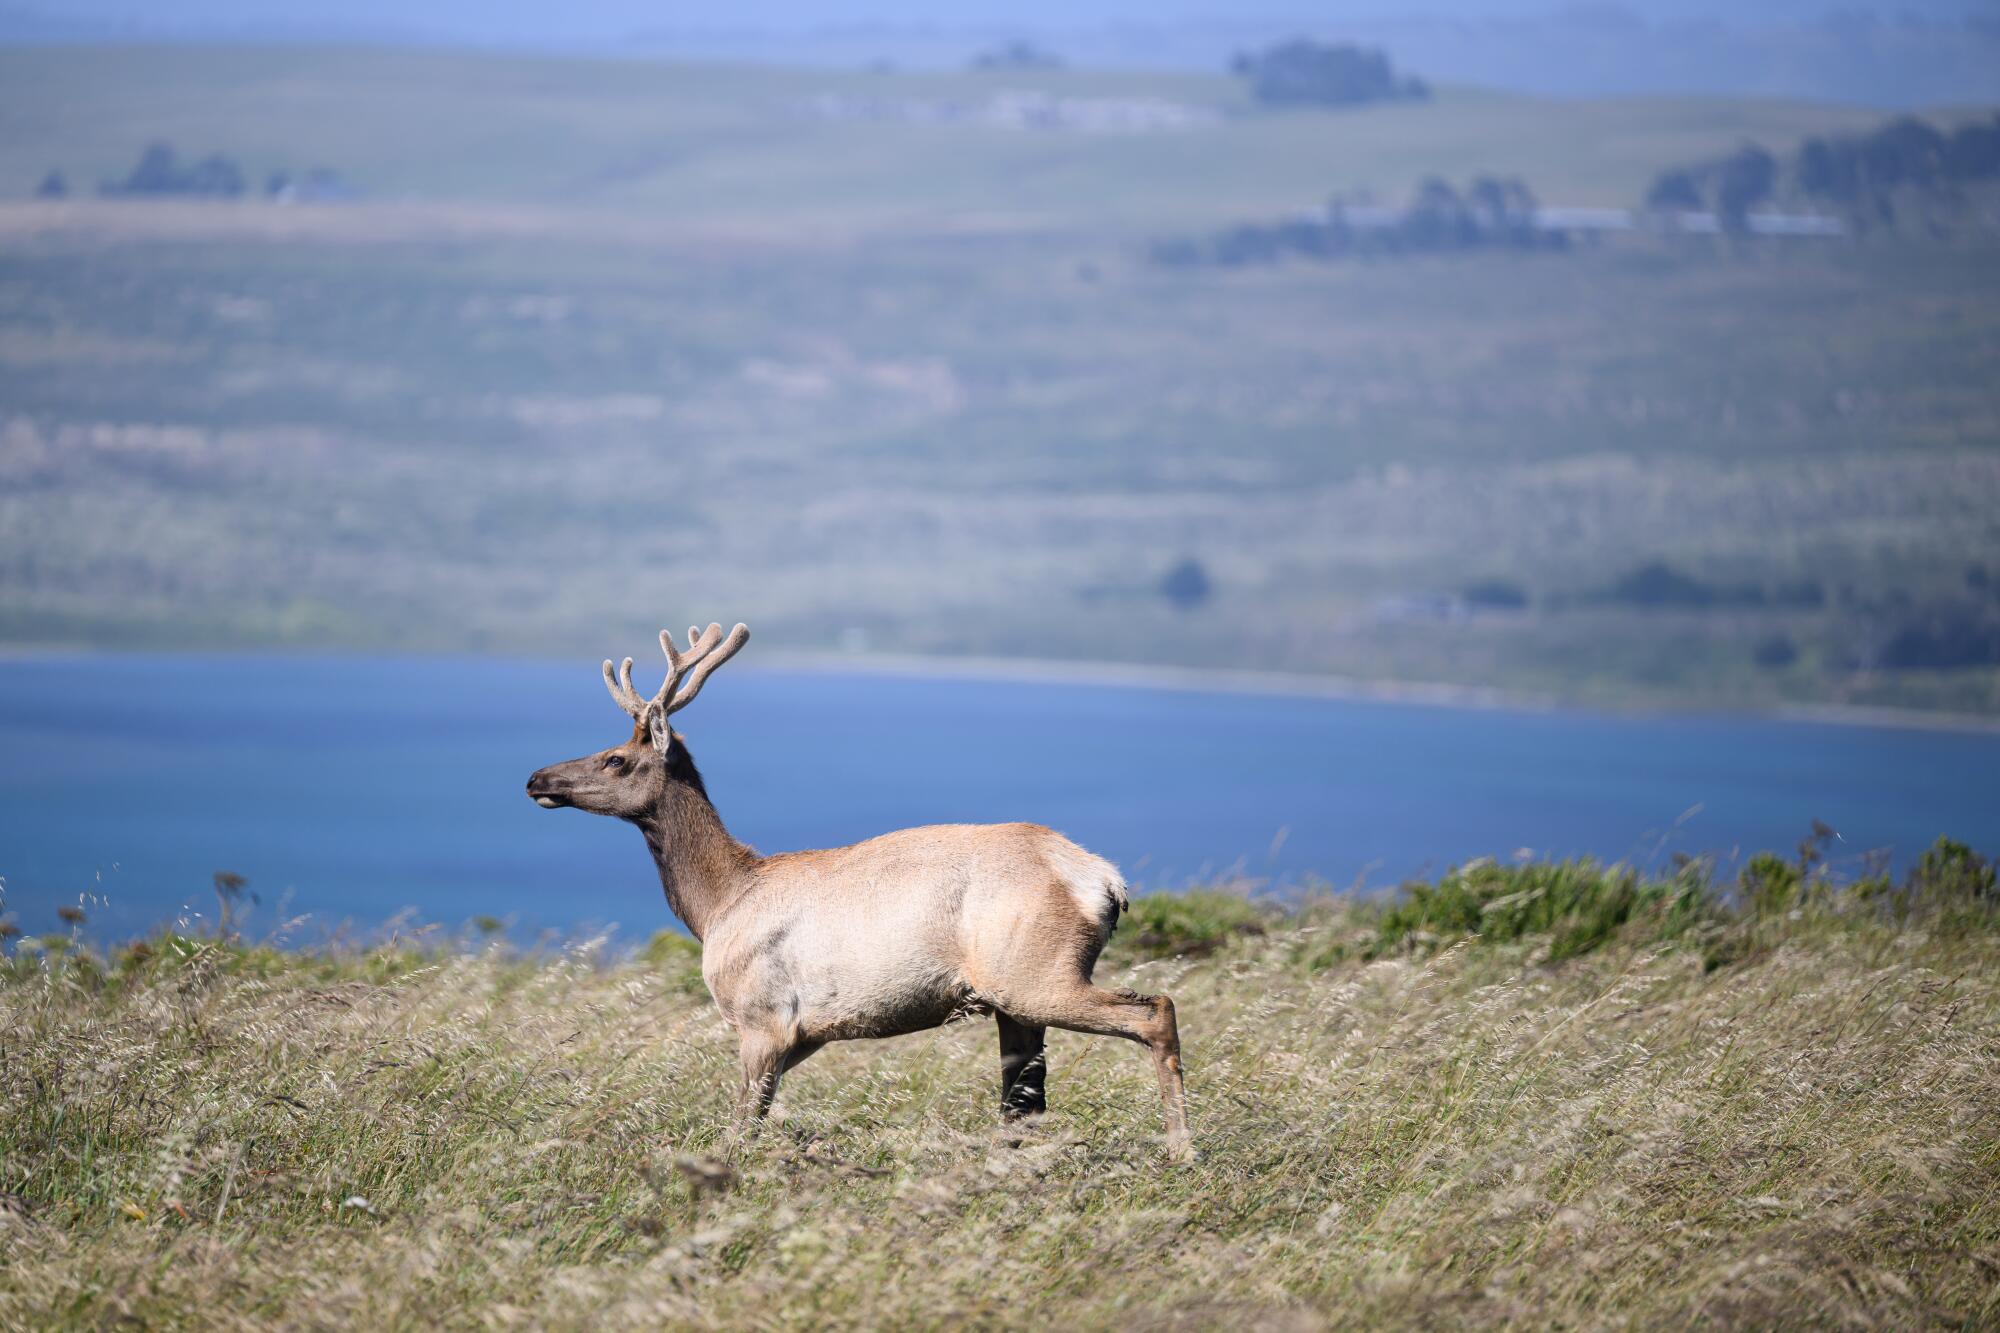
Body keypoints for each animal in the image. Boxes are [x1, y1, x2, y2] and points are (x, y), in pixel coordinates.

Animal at [525, 622, 1192, 1160]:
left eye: (615, 758)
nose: (536, 778)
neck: (719, 902)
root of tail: (1105, 881)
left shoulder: (762, 1016)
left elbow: (742, 1126)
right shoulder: (804, 1034)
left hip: (1035, 971)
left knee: (1154, 1011)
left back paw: (1181, 1150)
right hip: (1014, 998)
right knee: (1024, 1096)